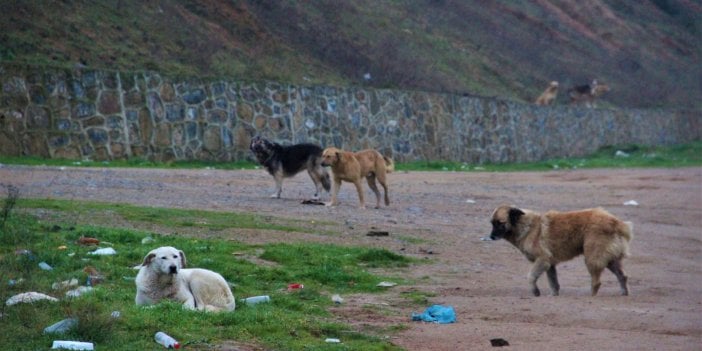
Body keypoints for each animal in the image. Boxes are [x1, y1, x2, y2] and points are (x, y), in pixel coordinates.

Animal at [492, 205, 636, 298]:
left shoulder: (542, 260)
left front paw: (535, 292)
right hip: (609, 259)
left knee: (597, 282)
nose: (491, 237)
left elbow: (531, 277)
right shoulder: (549, 264)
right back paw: (624, 293)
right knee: (622, 276)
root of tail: (617, 223)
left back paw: (591, 296)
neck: (526, 226)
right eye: (492, 223)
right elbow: (553, 282)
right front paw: (553, 295)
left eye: (500, 223)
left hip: (592, 258)